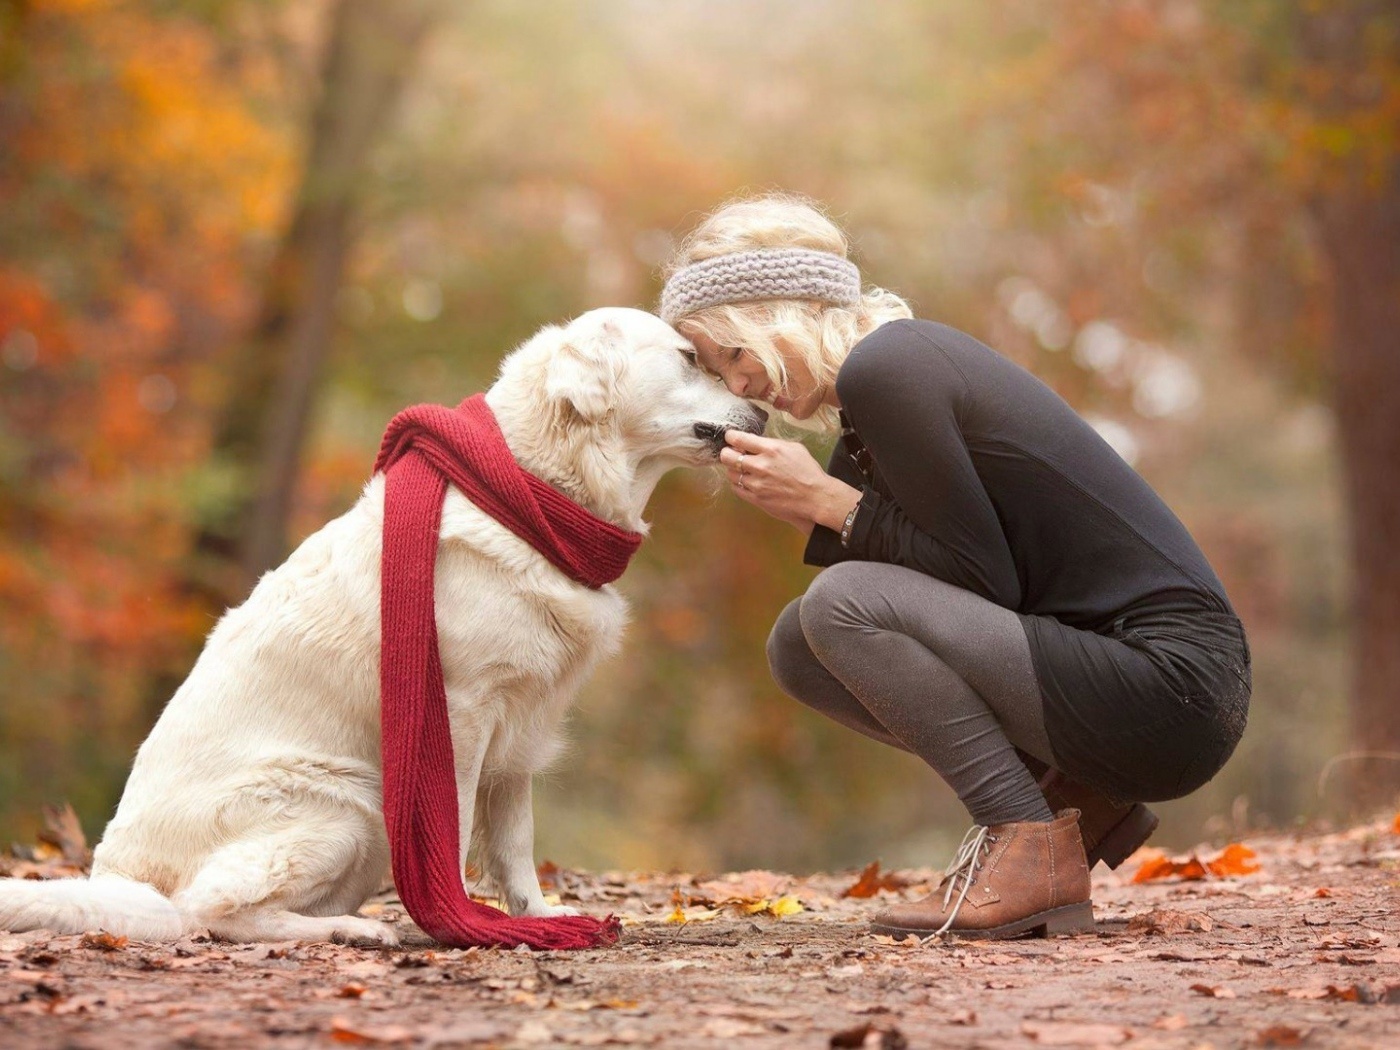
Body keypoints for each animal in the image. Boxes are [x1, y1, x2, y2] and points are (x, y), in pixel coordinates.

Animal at [0, 308, 767, 952]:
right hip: (351, 805)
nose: (762, 409)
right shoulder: (459, 711)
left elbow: (515, 842)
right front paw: (462, 921)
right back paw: (352, 930)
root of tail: (119, 877)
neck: (532, 493)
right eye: (688, 359)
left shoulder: (519, 729)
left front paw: (538, 917)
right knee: (208, 911)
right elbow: (453, 829)